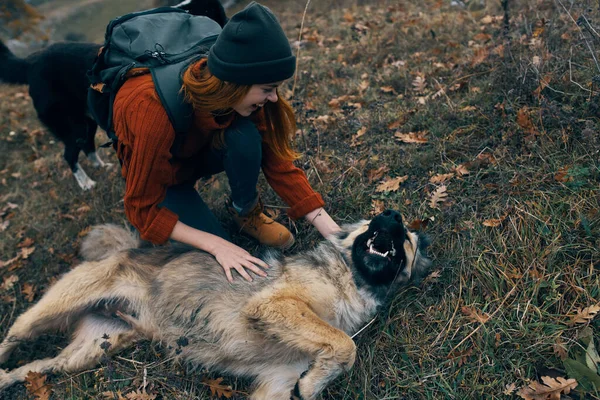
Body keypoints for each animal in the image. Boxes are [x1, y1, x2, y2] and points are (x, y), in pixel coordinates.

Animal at [0, 0, 229, 190]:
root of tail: (30, 62)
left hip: (88, 121)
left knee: (87, 146)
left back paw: (102, 167)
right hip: (71, 124)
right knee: (70, 154)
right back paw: (86, 184)